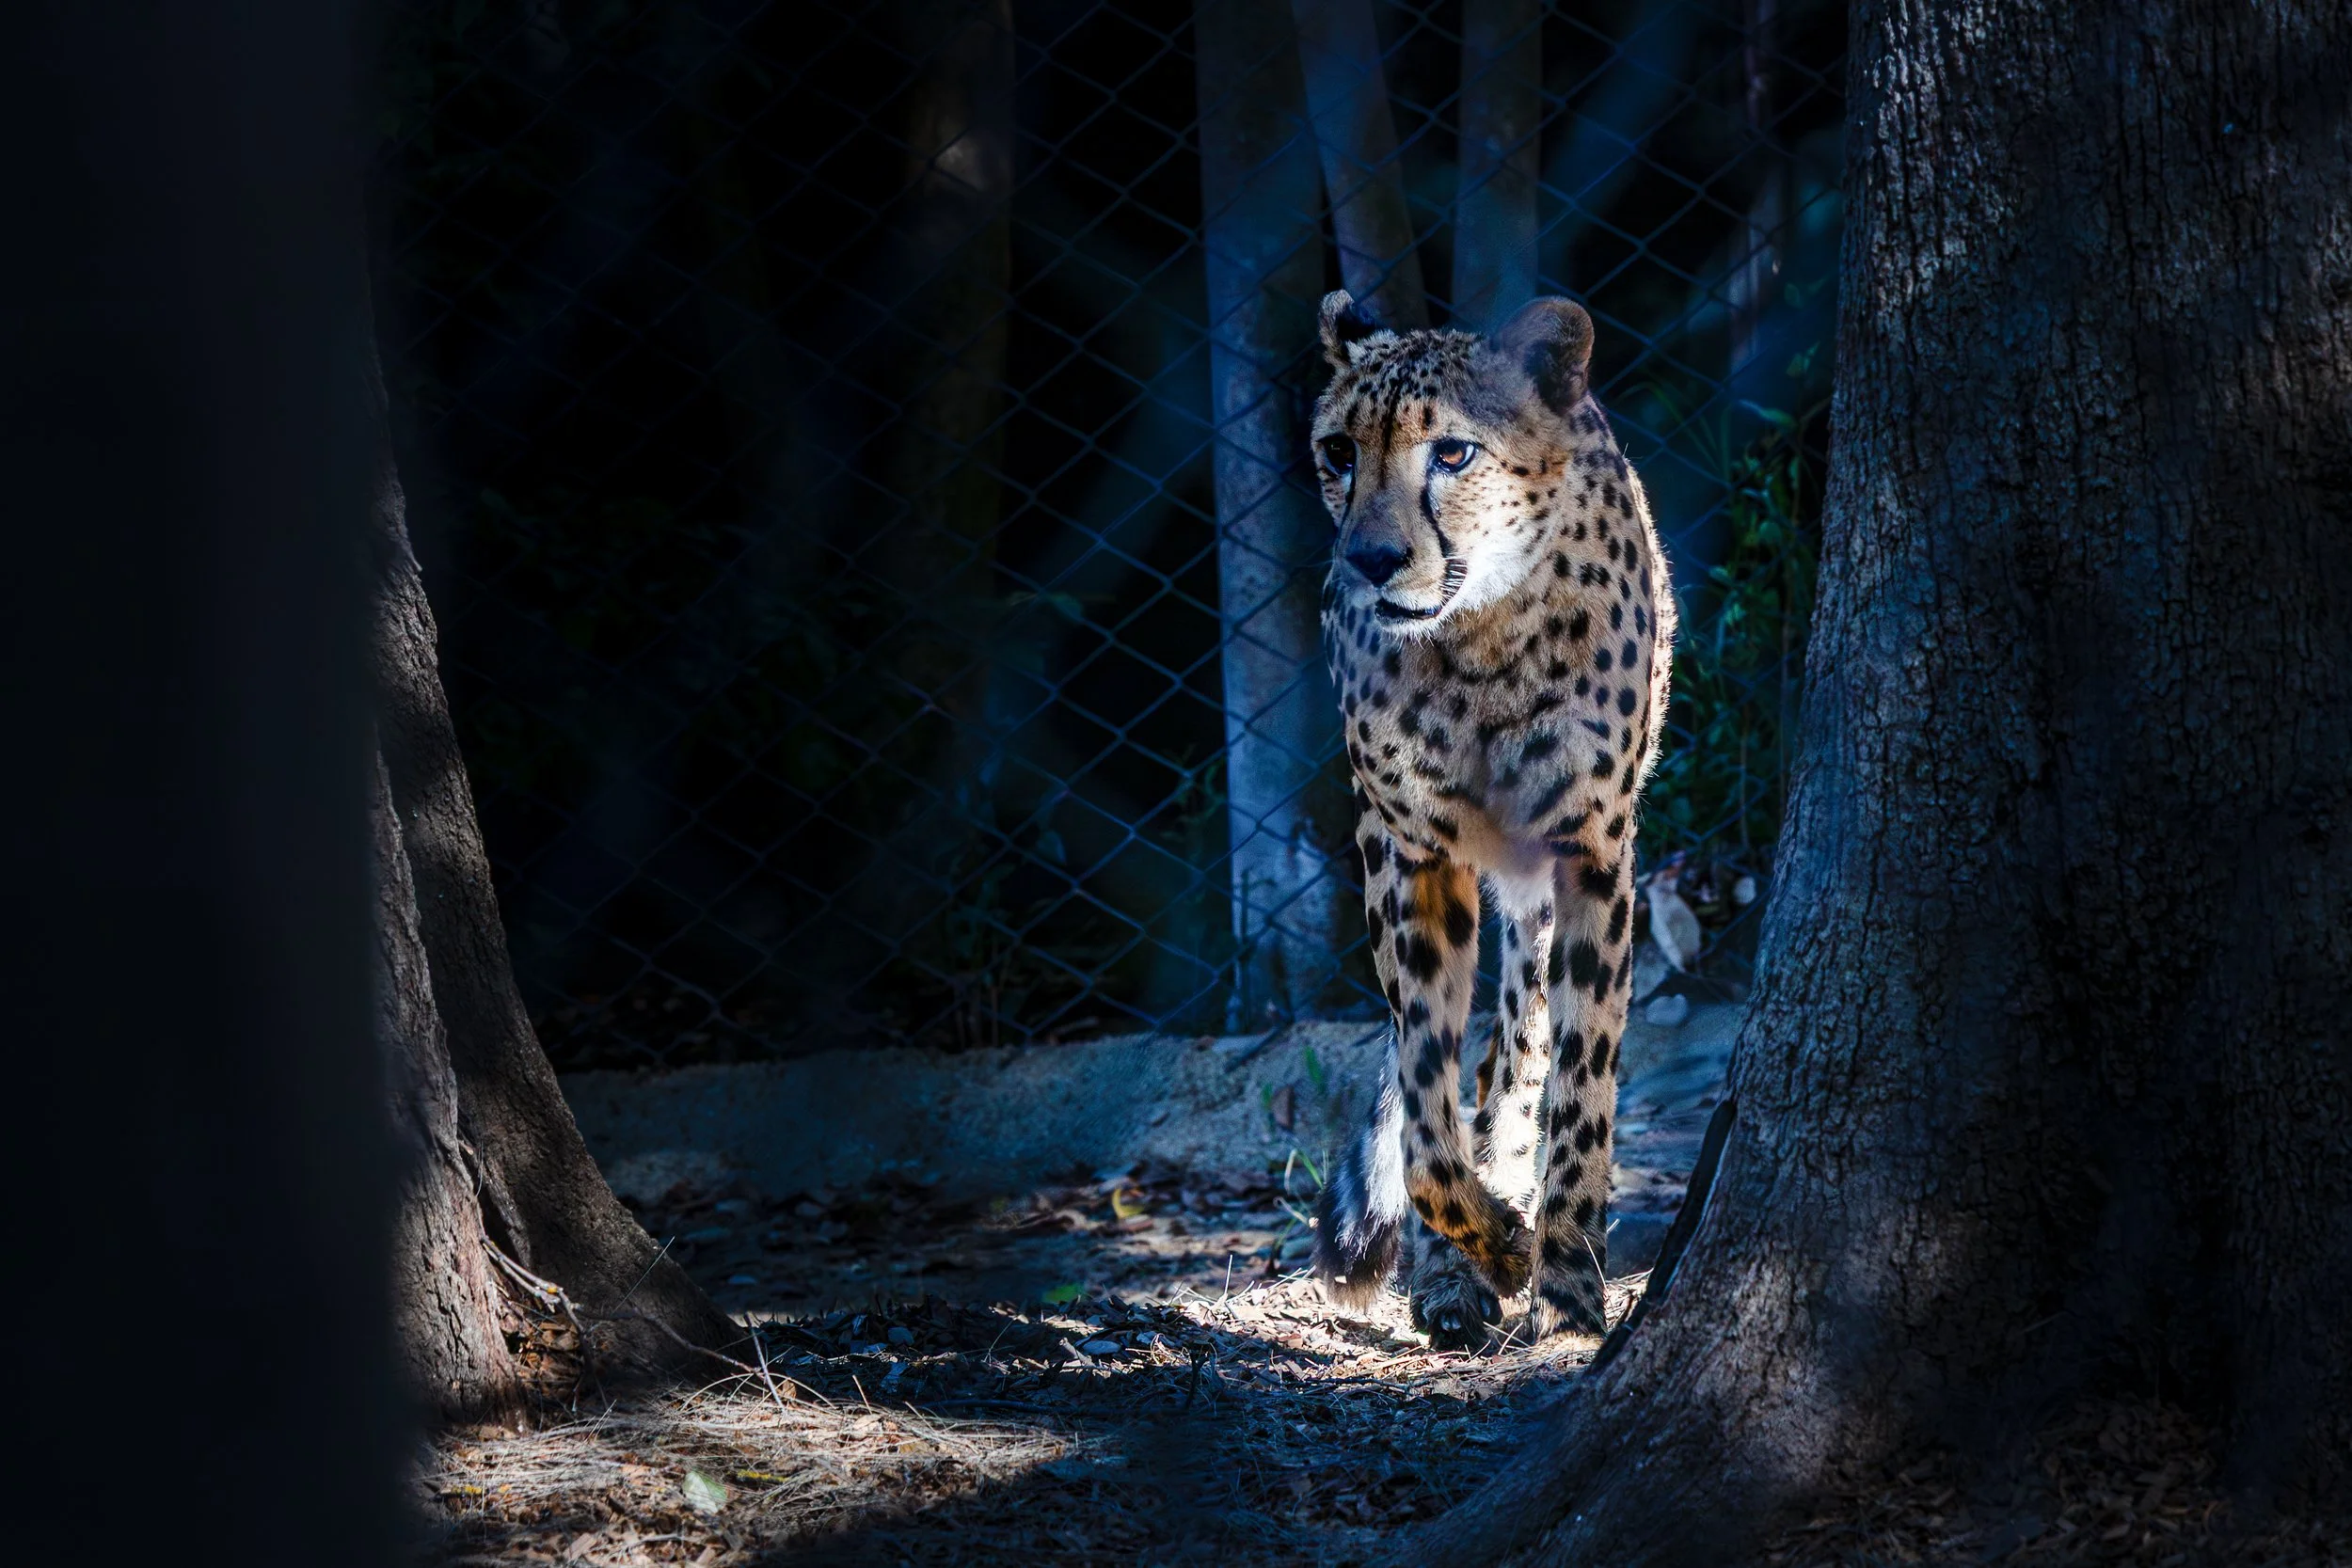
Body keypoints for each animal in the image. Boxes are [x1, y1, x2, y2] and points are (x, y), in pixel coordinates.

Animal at [1306, 289, 1675, 1349]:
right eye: (1338, 450)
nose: (1371, 559)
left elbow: (1583, 1084)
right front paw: (1493, 1248)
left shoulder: (1593, 853)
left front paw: (1568, 1285)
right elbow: (1425, 1105)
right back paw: (1453, 1273)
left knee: (1521, 1046)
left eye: (1453, 453)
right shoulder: (1411, 853)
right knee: (1453, 1063)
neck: (1479, 640)